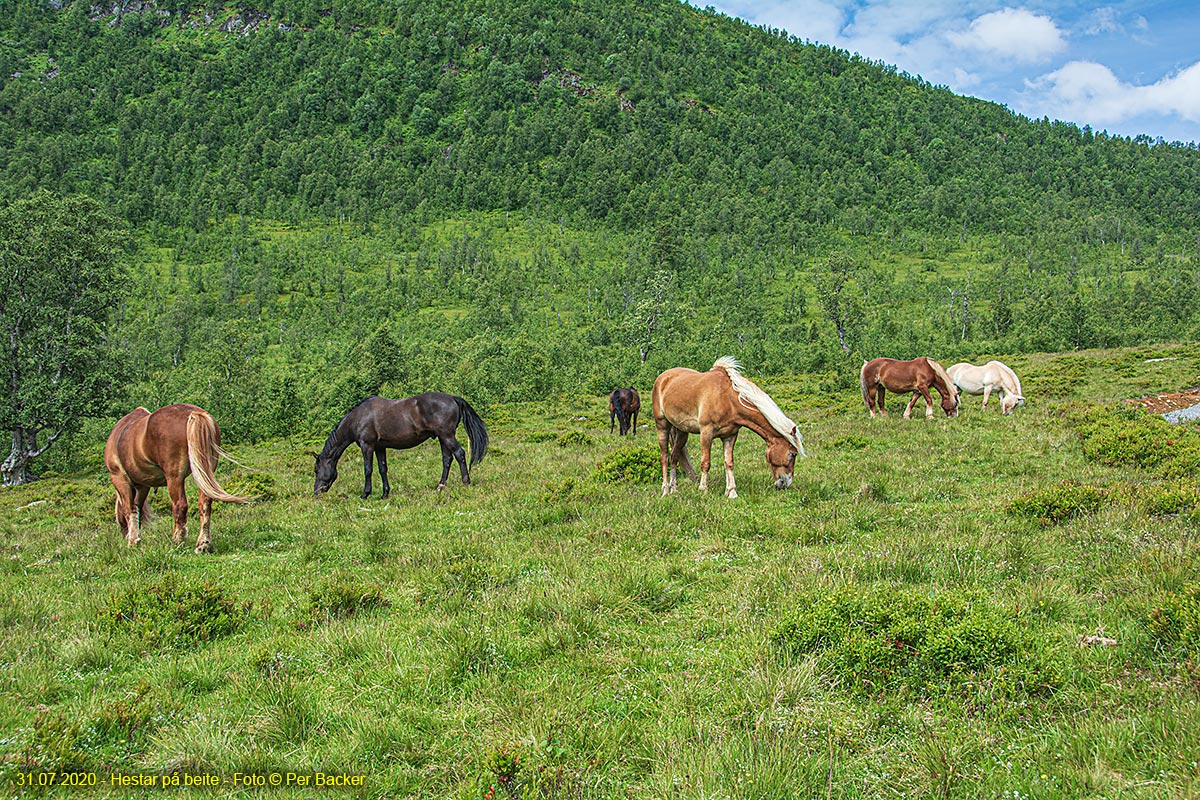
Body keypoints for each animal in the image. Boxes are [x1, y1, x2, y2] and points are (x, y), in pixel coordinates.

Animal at [103, 402, 250, 554]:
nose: (124, 535)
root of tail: (194, 414)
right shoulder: (143, 485)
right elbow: (137, 509)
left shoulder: (120, 479)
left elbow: (130, 509)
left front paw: (133, 541)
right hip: (204, 473)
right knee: (205, 503)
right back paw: (203, 544)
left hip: (174, 477)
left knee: (180, 506)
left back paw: (177, 540)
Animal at [314, 391, 492, 496]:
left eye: (316, 469)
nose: (316, 491)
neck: (359, 417)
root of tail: (453, 398)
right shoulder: (380, 447)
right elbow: (383, 469)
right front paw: (385, 494)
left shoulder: (367, 446)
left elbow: (368, 469)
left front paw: (365, 494)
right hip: (442, 438)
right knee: (447, 459)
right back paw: (440, 486)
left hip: (447, 435)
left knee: (460, 454)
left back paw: (466, 482)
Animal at [648, 357, 806, 501]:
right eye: (793, 454)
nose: (785, 484)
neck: (726, 399)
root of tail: (662, 378)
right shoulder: (706, 433)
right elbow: (705, 463)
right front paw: (703, 490)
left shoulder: (730, 435)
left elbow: (729, 463)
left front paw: (732, 492)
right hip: (662, 426)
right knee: (664, 457)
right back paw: (665, 491)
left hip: (681, 432)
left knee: (674, 457)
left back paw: (674, 489)